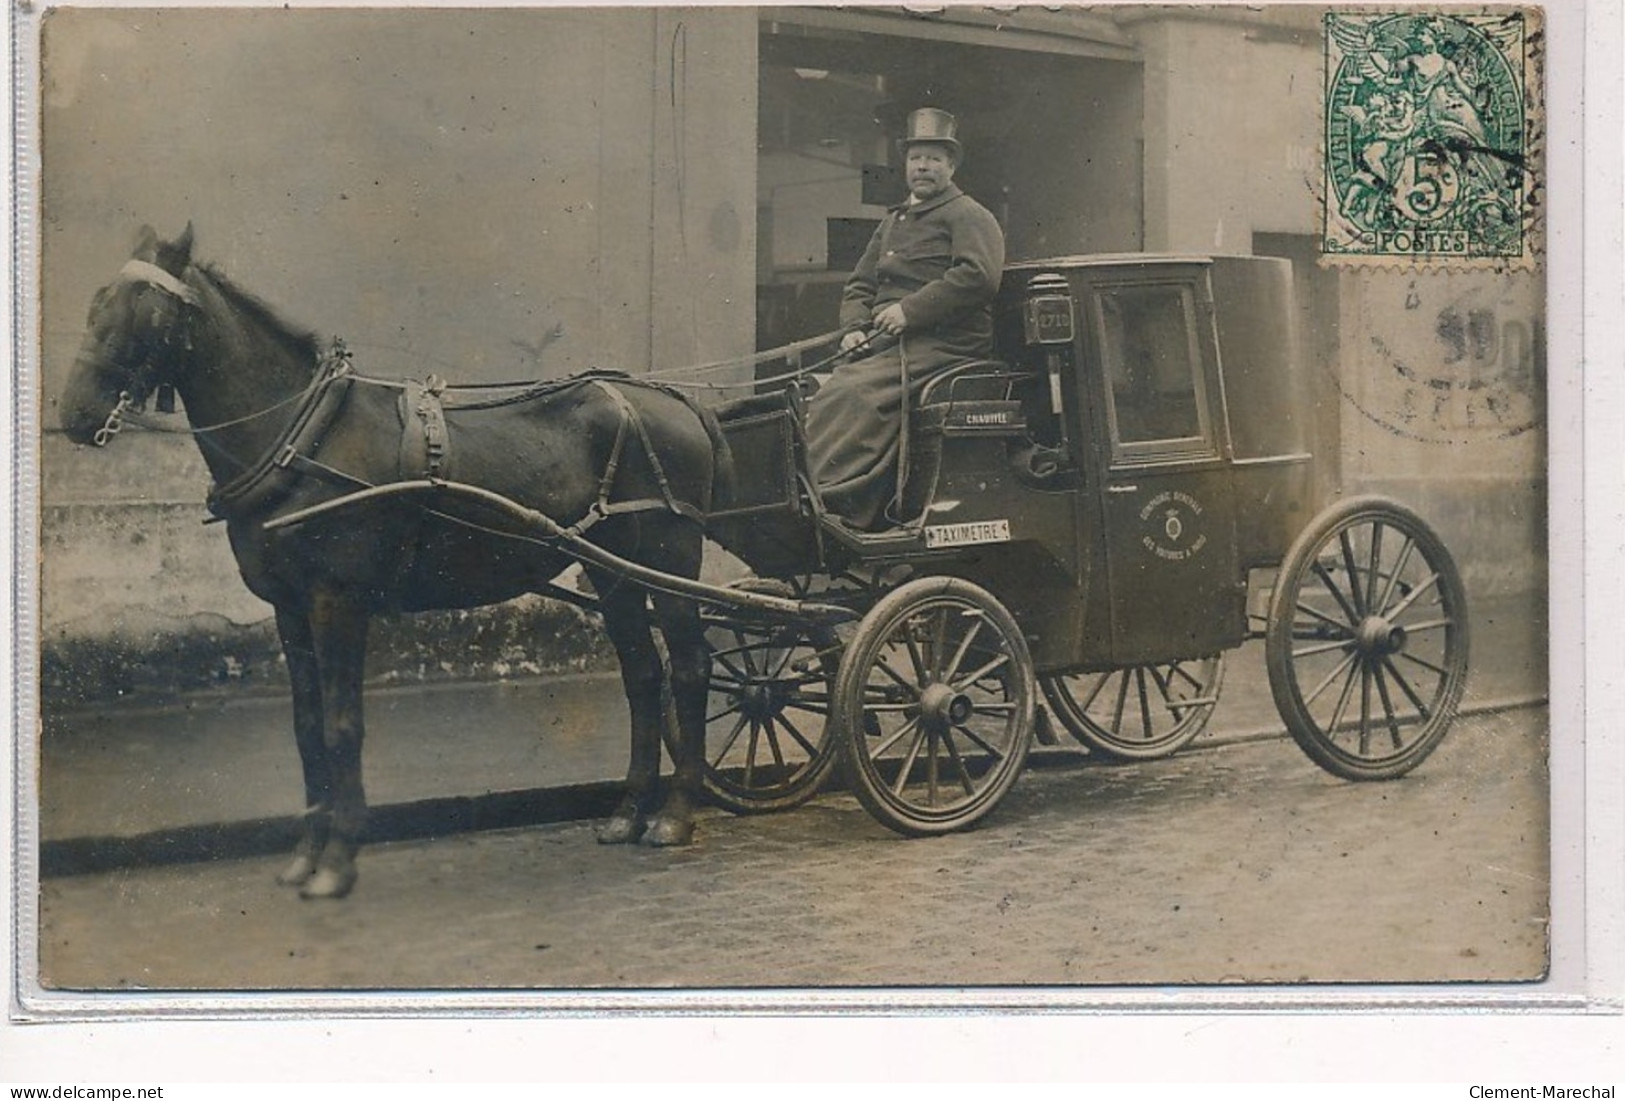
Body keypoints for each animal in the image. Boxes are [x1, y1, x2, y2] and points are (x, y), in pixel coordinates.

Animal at [57, 225, 731, 902]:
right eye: (93, 303)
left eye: (143, 312)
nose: (73, 415)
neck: (302, 438)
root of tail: (675, 401)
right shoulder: (288, 607)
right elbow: (307, 728)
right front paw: (305, 855)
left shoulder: (337, 600)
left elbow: (342, 726)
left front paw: (337, 859)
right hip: (613, 570)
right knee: (643, 675)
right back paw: (629, 812)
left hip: (669, 558)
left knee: (691, 667)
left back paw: (674, 814)